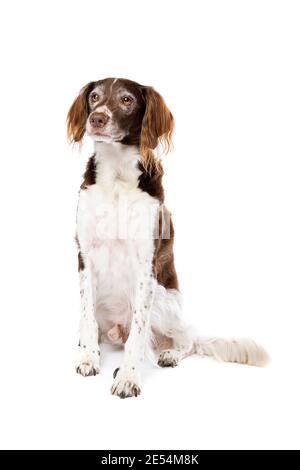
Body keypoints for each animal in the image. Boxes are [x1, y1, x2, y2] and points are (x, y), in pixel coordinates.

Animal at [66, 78, 268, 400]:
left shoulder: (145, 265)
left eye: (126, 100)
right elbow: (86, 318)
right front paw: (87, 358)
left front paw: (128, 376)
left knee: (185, 339)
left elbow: (139, 332)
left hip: (163, 298)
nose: (96, 118)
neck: (116, 178)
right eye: (94, 97)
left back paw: (169, 354)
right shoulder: (85, 255)